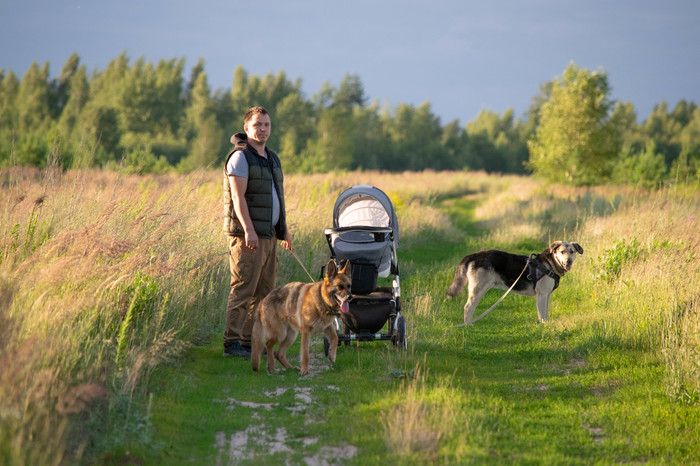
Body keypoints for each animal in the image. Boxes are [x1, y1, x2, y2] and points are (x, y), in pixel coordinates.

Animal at [446, 240, 584, 324]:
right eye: (562, 252)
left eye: (572, 252)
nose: (568, 261)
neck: (551, 263)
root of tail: (474, 255)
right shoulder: (542, 295)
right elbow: (541, 314)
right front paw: (542, 325)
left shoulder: (547, 296)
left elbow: (545, 312)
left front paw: (546, 323)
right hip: (478, 289)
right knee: (468, 307)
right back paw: (467, 326)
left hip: (479, 290)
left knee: (471, 307)